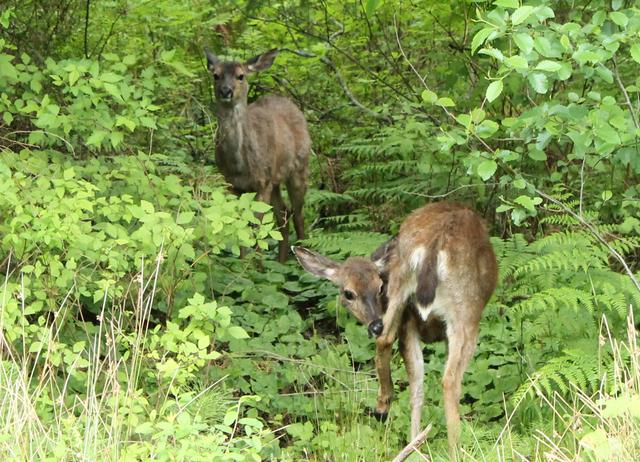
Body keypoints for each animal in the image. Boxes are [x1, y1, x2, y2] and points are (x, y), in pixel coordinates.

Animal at [206, 48, 311, 262]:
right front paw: (245, 264)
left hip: (299, 168)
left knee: (298, 215)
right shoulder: (233, 185)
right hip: (276, 180)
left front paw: (256, 265)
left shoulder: (262, 182)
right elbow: (240, 227)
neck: (239, 165)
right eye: (216, 75)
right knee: (284, 215)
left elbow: (257, 229)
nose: (225, 91)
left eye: (241, 75)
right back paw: (281, 261)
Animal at [293, 202, 498, 456]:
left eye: (379, 286)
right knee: (449, 380)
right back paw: (453, 451)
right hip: (465, 312)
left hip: (402, 292)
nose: (374, 323)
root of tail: (435, 243)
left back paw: (398, 425)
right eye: (348, 293)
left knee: (390, 346)